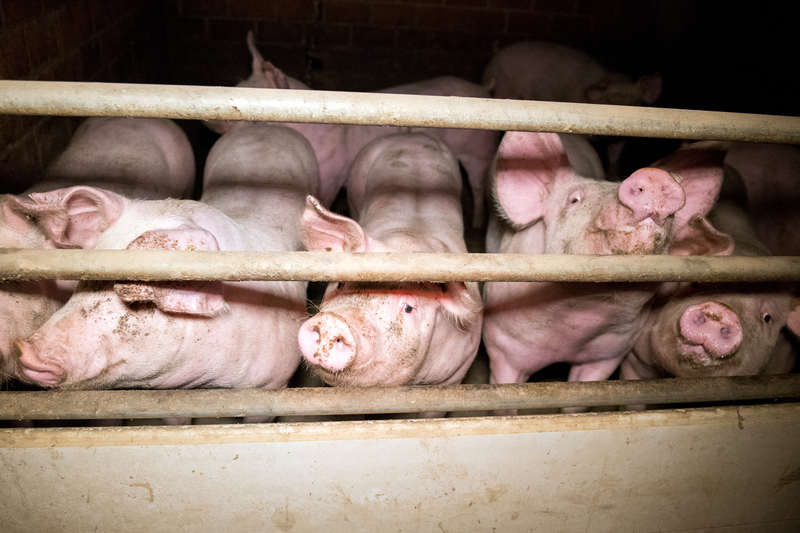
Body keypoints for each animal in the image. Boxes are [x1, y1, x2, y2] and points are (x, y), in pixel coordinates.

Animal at [205, 31, 500, 227]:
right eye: (237, 86)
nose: (209, 120)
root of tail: (482, 88)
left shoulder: (332, 174)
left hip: (479, 149)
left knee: (477, 184)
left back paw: (477, 224)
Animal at [294, 131, 482, 396]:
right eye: (340, 284)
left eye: (408, 308)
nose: (334, 321)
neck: (410, 239)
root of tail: (409, 134)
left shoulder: (457, 371)